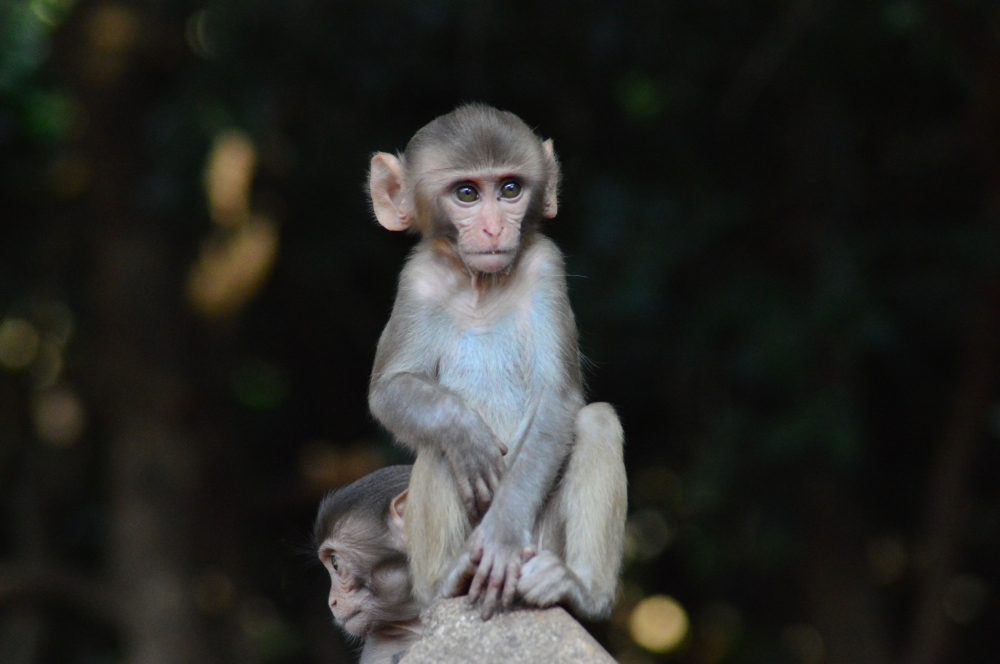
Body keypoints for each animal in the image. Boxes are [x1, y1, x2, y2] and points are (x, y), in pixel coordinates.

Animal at [367, 104, 627, 622]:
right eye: (466, 193)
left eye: (510, 189)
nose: (492, 228)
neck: (481, 285)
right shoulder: (417, 279)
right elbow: (391, 388)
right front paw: (466, 432)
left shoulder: (547, 266)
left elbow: (557, 398)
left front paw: (502, 537)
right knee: (436, 448)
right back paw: (448, 582)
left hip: (543, 544)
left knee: (598, 422)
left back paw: (576, 589)